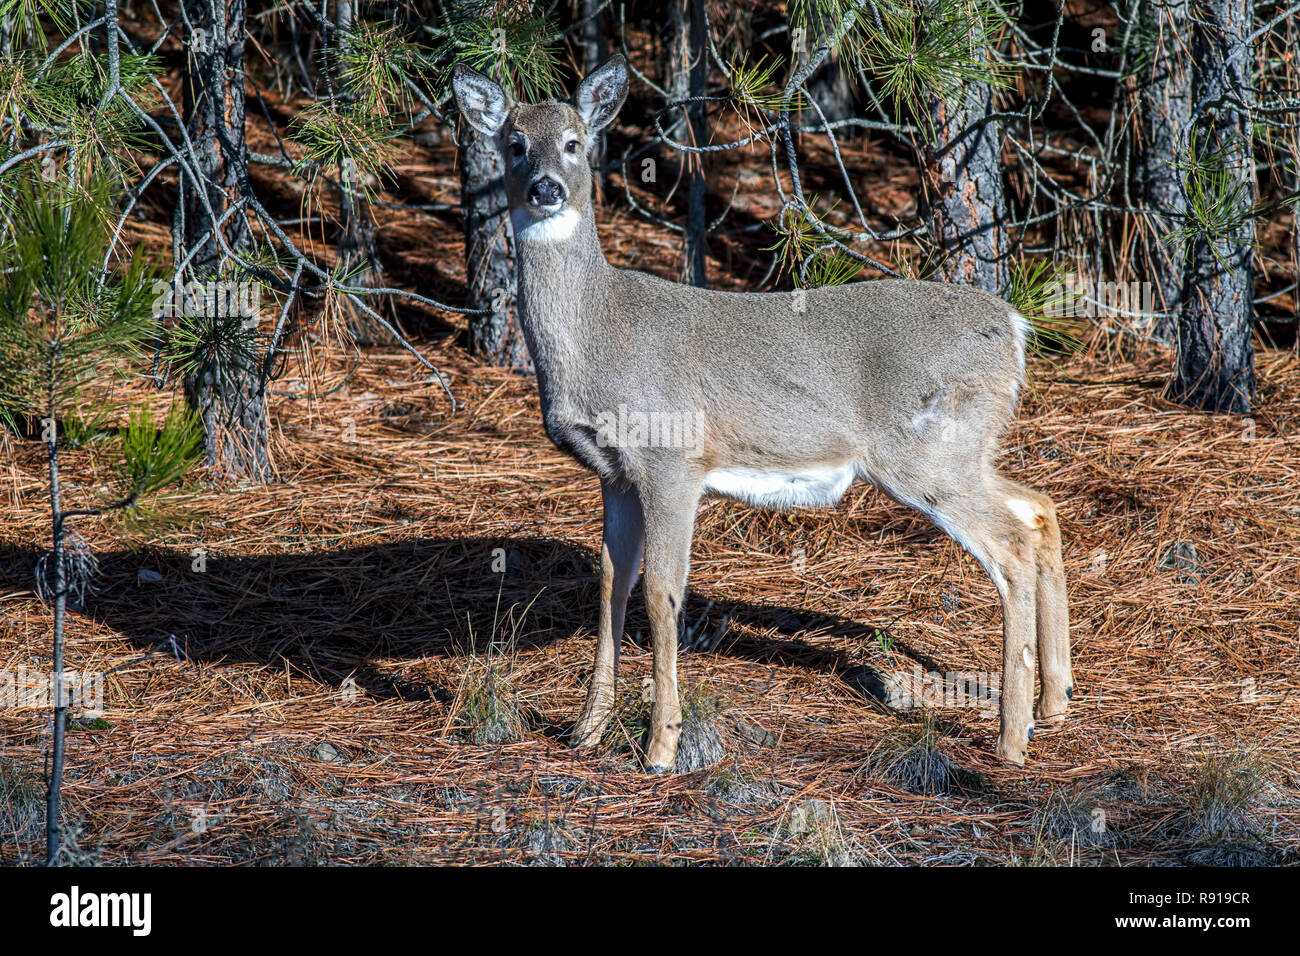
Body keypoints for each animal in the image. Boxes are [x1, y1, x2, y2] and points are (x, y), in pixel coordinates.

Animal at [452, 52, 1071, 775]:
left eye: (576, 142)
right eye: (514, 144)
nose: (547, 187)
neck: (602, 332)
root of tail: (1016, 327)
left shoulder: (672, 458)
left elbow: (662, 592)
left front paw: (661, 746)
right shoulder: (613, 473)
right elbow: (611, 583)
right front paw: (587, 730)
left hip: (927, 451)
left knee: (1012, 546)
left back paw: (1012, 737)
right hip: (965, 448)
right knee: (1040, 509)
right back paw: (1055, 702)